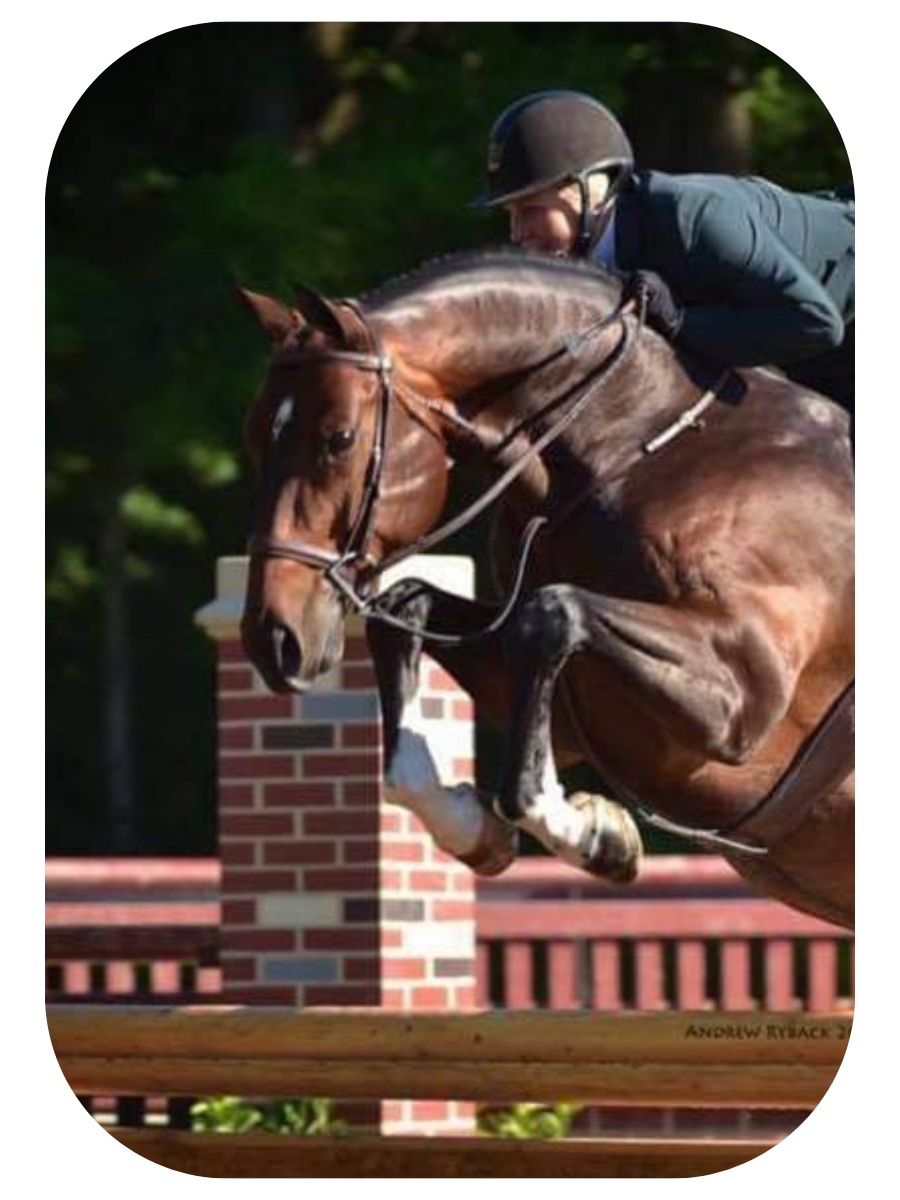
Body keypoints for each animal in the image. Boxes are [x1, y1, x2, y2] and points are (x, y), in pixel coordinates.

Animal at [238, 250, 854, 930]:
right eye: (254, 437)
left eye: (339, 439)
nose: (273, 639)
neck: (629, 445)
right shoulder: (569, 711)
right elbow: (408, 608)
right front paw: (480, 830)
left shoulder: (742, 700)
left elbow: (550, 613)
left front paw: (597, 835)